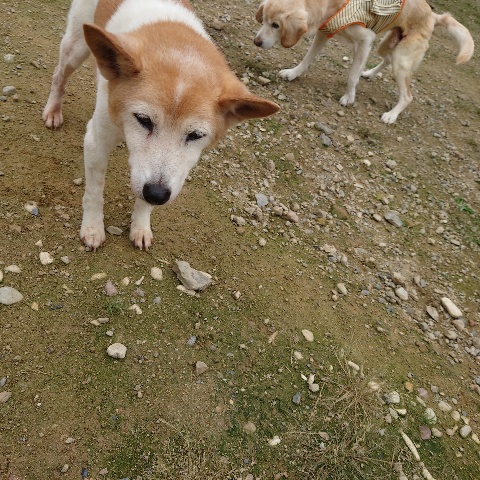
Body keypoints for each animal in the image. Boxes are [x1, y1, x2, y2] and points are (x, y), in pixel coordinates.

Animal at [43, 0, 279, 250]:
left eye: (195, 135)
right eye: (143, 120)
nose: (156, 194)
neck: (178, 47)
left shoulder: (164, 176)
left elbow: (145, 199)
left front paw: (141, 226)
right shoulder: (96, 142)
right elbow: (95, 192)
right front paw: (92, 227)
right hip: (76, 48)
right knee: (59, 75)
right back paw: (53, 111)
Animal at [254, 0, 474, 123]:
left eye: (276, 25)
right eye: (263, 20)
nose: (256, 42)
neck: (331, 5)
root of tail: (433, 15)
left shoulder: (365, 39)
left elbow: (351, 75)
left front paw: (349, 97)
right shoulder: (324, 33)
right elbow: (307, 59)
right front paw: (293, 73)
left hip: (401, 61)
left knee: (408, 96)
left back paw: (391, 115)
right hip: (387, 45)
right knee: (386, 59)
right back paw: (369, 73)